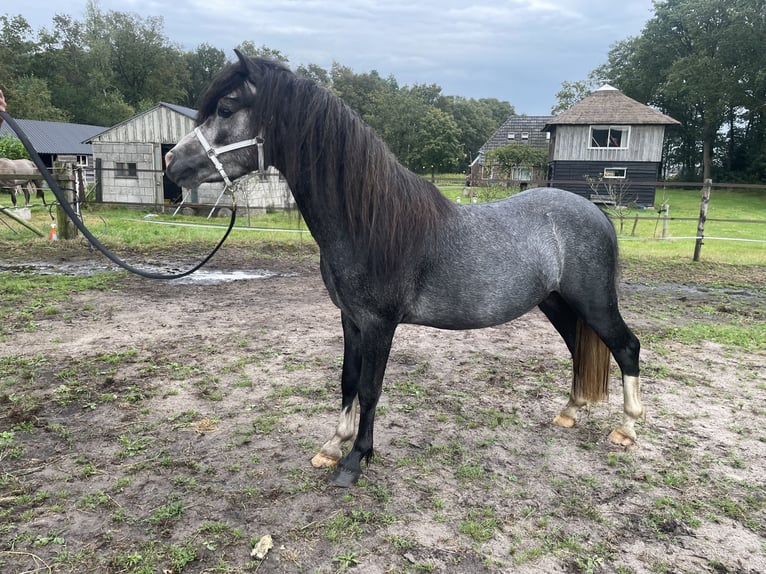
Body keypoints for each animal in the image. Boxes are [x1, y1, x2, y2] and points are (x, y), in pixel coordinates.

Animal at [165, 51, 644, 488]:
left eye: (226, 110)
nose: (172, 164)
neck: (369, 222)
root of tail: (597, 212)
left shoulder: (380, 323)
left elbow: (370, 388)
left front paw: (355, 460)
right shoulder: (351, 319)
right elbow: (347, 380)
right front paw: (332, 446)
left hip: (594, 302)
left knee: (626, 348)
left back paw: (626, 428)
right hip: (556, 302)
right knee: (579, 348)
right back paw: (570, 412)